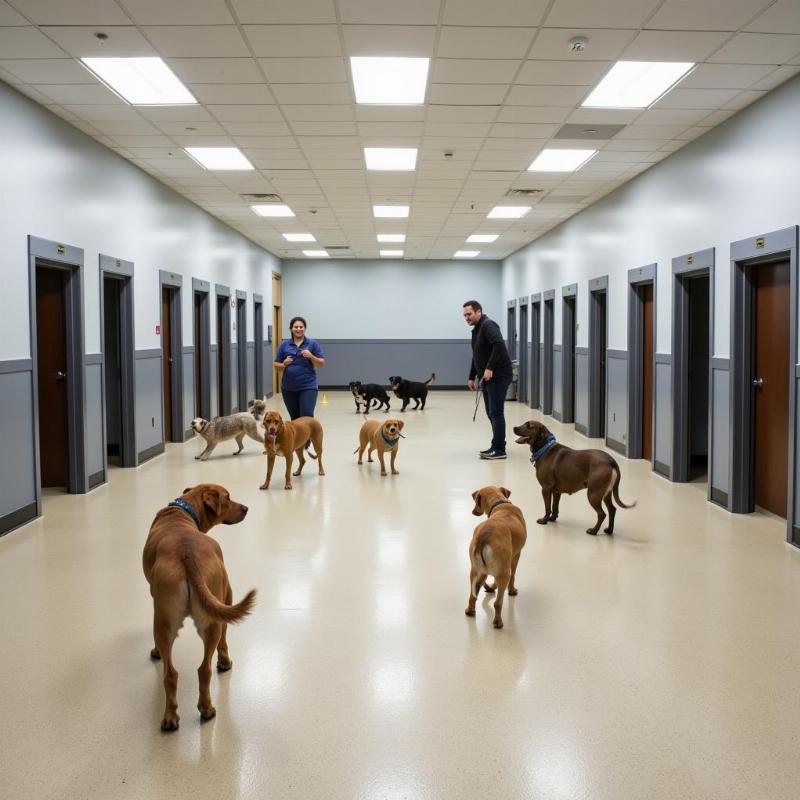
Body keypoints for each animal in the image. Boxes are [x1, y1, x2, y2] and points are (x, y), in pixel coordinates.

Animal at [142, 482, 256, 732]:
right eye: (228, 498)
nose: (246, 508)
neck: (183, 510)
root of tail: (188, 557)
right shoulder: (227, 594)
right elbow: (225, 641)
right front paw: (225, 661)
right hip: (213, 616)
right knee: (204, 669)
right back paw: (206, 708)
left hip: (164, 620)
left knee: (172, 674)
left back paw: (172, 717)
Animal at [466, 484, 528, 628]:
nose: (473, 511)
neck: (500, 503)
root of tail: (484, 536)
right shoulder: (515, 556)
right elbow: (513, 575)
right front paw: (512, 591)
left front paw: (490, 587)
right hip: (504, 572)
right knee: (497, 603)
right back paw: (498, 622)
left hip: (475, 570)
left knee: (473, 596)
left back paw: (471, 610)